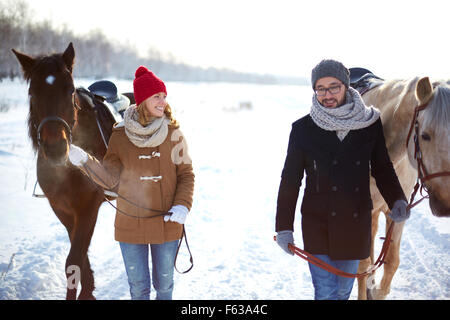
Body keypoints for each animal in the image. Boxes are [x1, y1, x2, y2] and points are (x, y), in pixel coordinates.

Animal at [12, 43, 116, 300]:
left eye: (69, 91)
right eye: (32, 93)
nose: (56, 147)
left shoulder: (88, 207)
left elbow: (74, 259)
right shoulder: (63, 209)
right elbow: (78, 259)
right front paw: (88, 288)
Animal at [356, 76, 448, 298]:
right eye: (425, 136)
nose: (445, 203)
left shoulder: (397, 212)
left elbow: (391, 263)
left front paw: (376, 290)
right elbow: (361, 266)